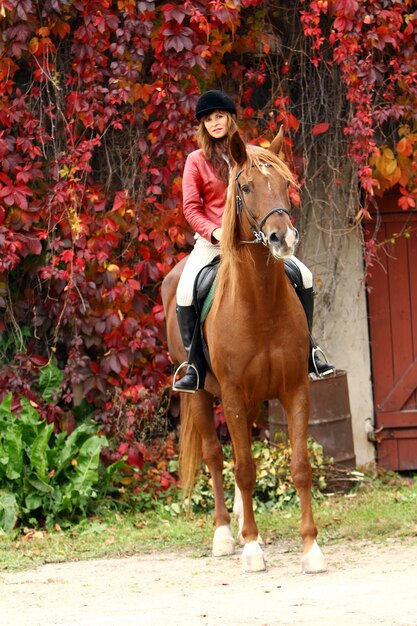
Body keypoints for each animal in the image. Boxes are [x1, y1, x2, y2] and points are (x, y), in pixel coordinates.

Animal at [161, 129, 326, 572]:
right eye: (246, 187)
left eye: (285, 183)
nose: (283, 239)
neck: (260, 304)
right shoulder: (233, 395)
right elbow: (244, 468)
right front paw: (250, 548)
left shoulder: (295, 389)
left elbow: (299, 467)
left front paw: (310, 548)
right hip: (201, 395)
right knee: (217, 457)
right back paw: (223, 534)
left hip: (252, 401)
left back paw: (239, 525)